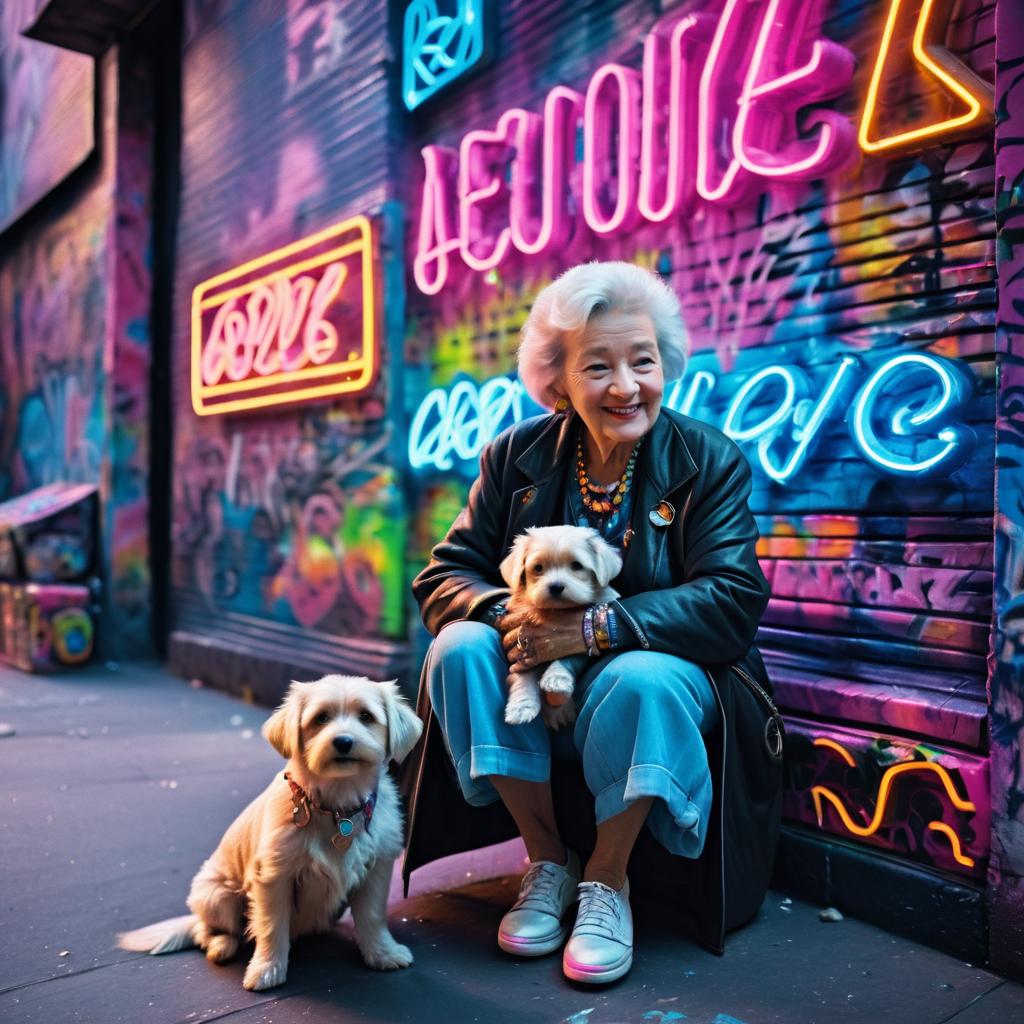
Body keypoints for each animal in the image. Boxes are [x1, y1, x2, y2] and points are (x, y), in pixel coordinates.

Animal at [117, 675, 421, 987]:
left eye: (366, 716)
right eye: (321, 718)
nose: (344, 741)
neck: (336, 808)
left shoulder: (377, 870)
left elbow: (373, 915)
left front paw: (383, 953)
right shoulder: (274, 876)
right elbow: (271, 925)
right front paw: (267, 968)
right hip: (219, 896)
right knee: (208, 929)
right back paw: (221, 944)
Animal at [497, 528, 618, 729]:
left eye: (576, 565)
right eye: (538, 568)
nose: (555, 587)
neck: (557, 610)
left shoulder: (576, 640)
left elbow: (566, 656)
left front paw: (556, 680)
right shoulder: (519, 652)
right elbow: (524, 675)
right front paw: (521, 706)